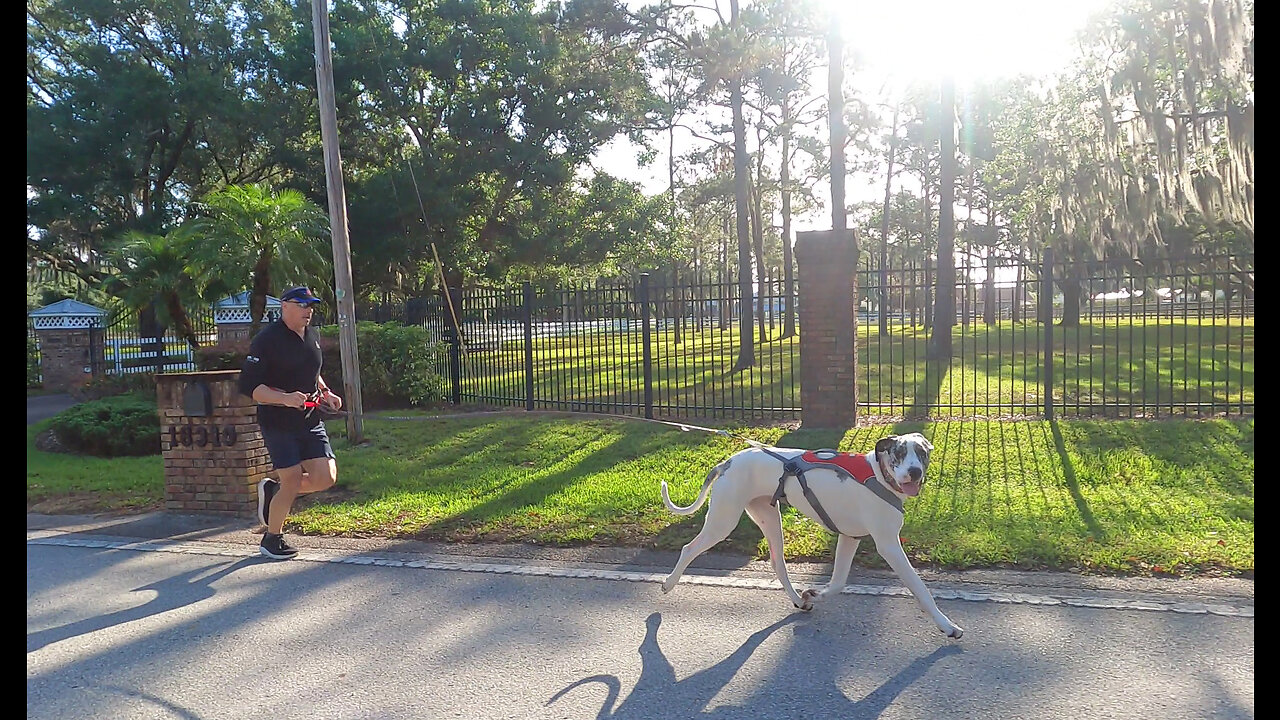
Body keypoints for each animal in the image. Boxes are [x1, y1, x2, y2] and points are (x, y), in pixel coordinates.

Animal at [660, 427, 962, 635]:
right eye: (899, 453)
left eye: (921, 453)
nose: (914, 472)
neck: (879, 476)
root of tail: (727, 462)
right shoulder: (888, 545)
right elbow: (921, 589)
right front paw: (947, 626)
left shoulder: (849, 538)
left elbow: (838, 582)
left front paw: (817, 594)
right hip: (722, 521)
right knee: (689, 548)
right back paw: (669, 583)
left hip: (770, 521)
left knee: (778, 564)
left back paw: (797, 600)